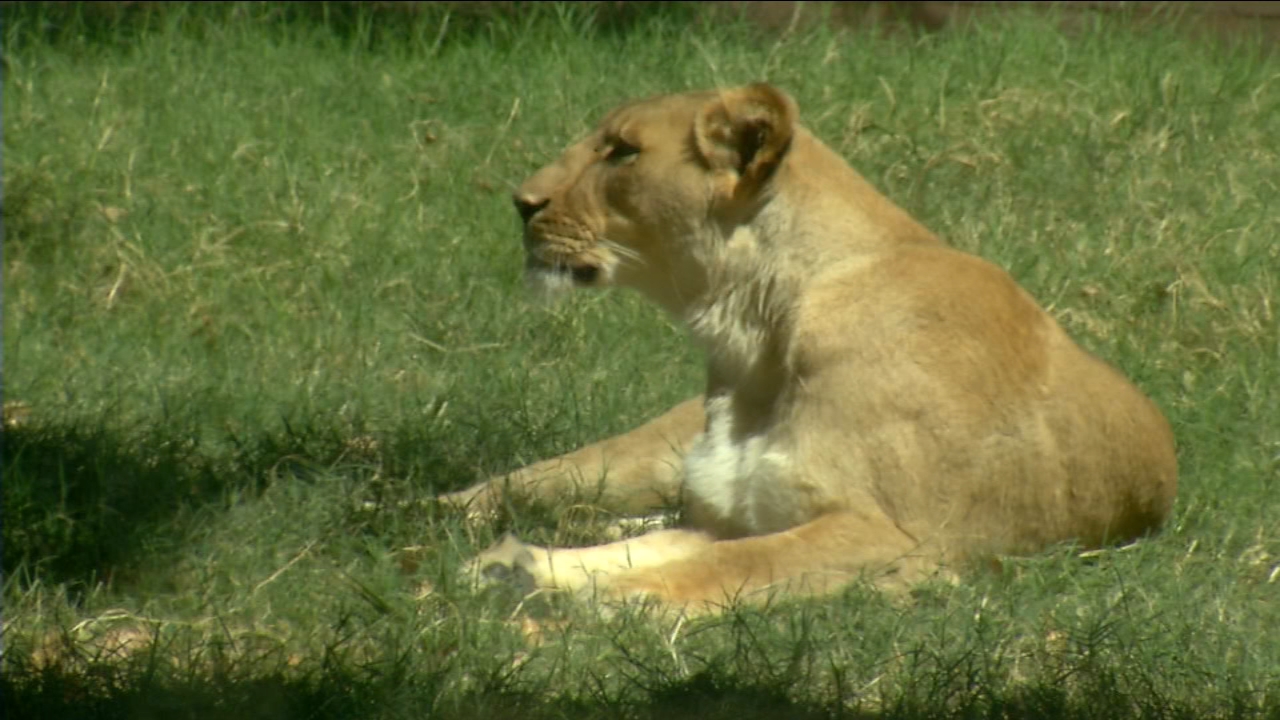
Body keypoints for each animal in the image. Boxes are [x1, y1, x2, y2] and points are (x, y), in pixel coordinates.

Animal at [442, 82, 1178, 611]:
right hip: (642, 456)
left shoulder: (904, 540)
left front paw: (614, 600)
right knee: (538, 483)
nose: (521, 202)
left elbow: (727, 561)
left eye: (622, 152)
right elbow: (659, 545)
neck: (751, 333)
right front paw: (516, 568)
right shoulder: (729, 511)